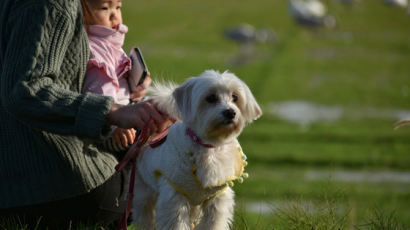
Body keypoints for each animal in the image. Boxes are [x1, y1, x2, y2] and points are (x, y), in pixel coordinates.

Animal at [133, 70, 262, 230]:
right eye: (211, 98)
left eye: (235, 97)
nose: (230, 112)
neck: (209, 147)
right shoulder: (174, 196)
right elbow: (177, 223)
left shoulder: (217, 198)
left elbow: (214, 222)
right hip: (143, 192)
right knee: (144, 215)